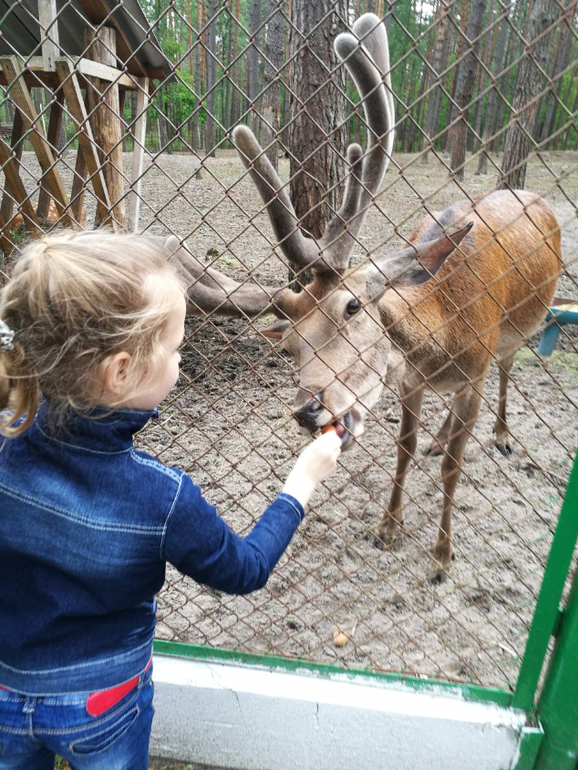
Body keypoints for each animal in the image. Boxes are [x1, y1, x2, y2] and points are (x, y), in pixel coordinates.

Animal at [167, 13, 562, 580]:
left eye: (352, 306)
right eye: (290, 345)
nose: (308, 409)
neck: (442, 336)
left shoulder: (473, 372)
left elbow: (453, 466)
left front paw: (442, 555)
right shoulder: (410, 381)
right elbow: (405, 447)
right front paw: (388, 526)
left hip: (514, 334)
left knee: (507, 368)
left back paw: (503, 434)